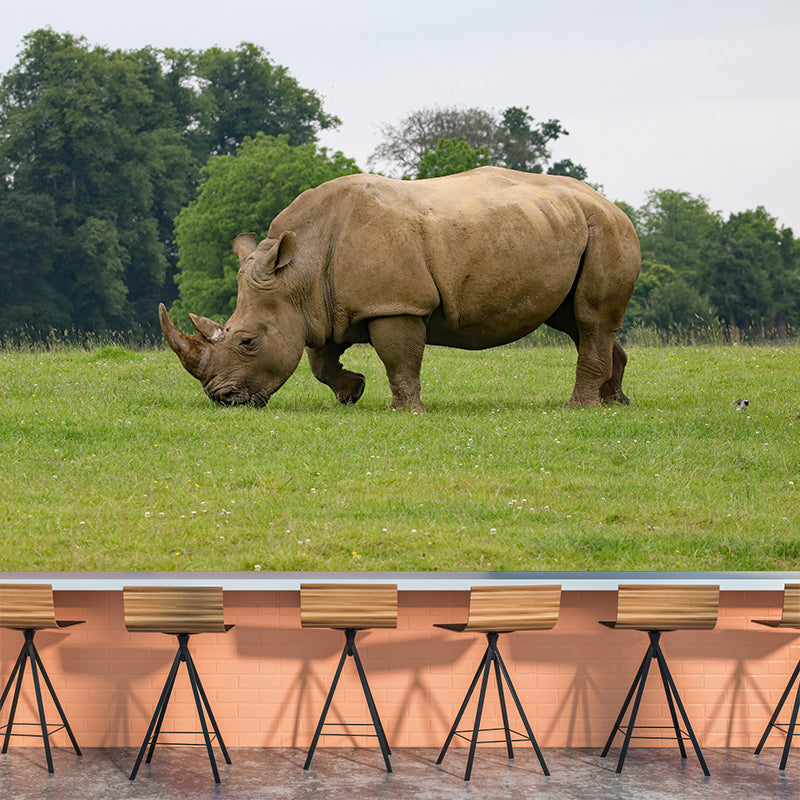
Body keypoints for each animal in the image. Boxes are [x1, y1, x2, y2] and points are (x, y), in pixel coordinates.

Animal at [160, 166, 640, 410]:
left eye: (246, 341)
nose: (223, 400)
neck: (298, 273)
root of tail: (610, 201)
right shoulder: (322, 307)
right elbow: (320, 360)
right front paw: (351, 393)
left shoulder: (395, 304)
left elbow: (399, 359)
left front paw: (405, 411)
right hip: (566, 226)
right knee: (578, 322)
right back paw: (616, 403)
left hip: (607, 230)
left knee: (590, 318)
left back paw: (580, 408)